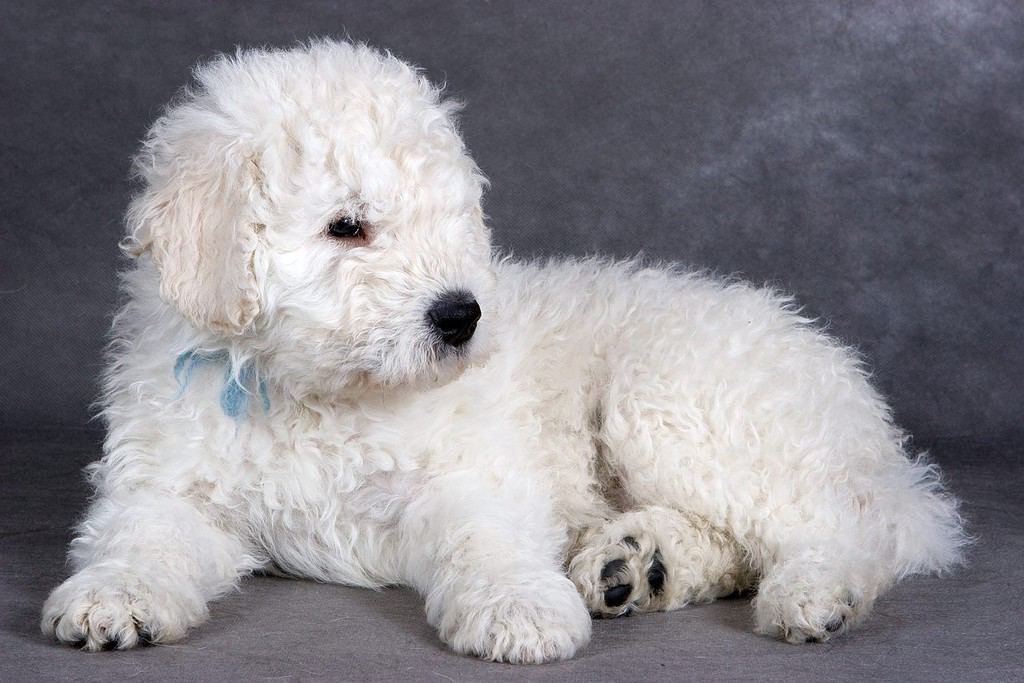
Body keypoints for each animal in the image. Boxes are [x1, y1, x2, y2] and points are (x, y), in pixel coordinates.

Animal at [39, 41, 966, 663]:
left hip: (672, 400)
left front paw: (521, 610)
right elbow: (142, 537)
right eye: (348, 225)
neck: (314, 393)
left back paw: (813, 592)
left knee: (849, 527)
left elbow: (483, 541)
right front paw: (113, 597)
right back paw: (639, 566)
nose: (461, 316)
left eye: (450, 218)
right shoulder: (167, 486)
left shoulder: (469, 475)